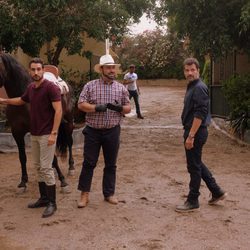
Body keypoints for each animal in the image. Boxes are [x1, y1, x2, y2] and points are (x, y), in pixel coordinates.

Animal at [0, 53, 74, 189]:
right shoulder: (16, 133)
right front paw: (23, 181)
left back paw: (71, 167)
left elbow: (53, 157)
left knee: (70, 142)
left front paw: (63, 180)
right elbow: (22, 157)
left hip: (69, 122)